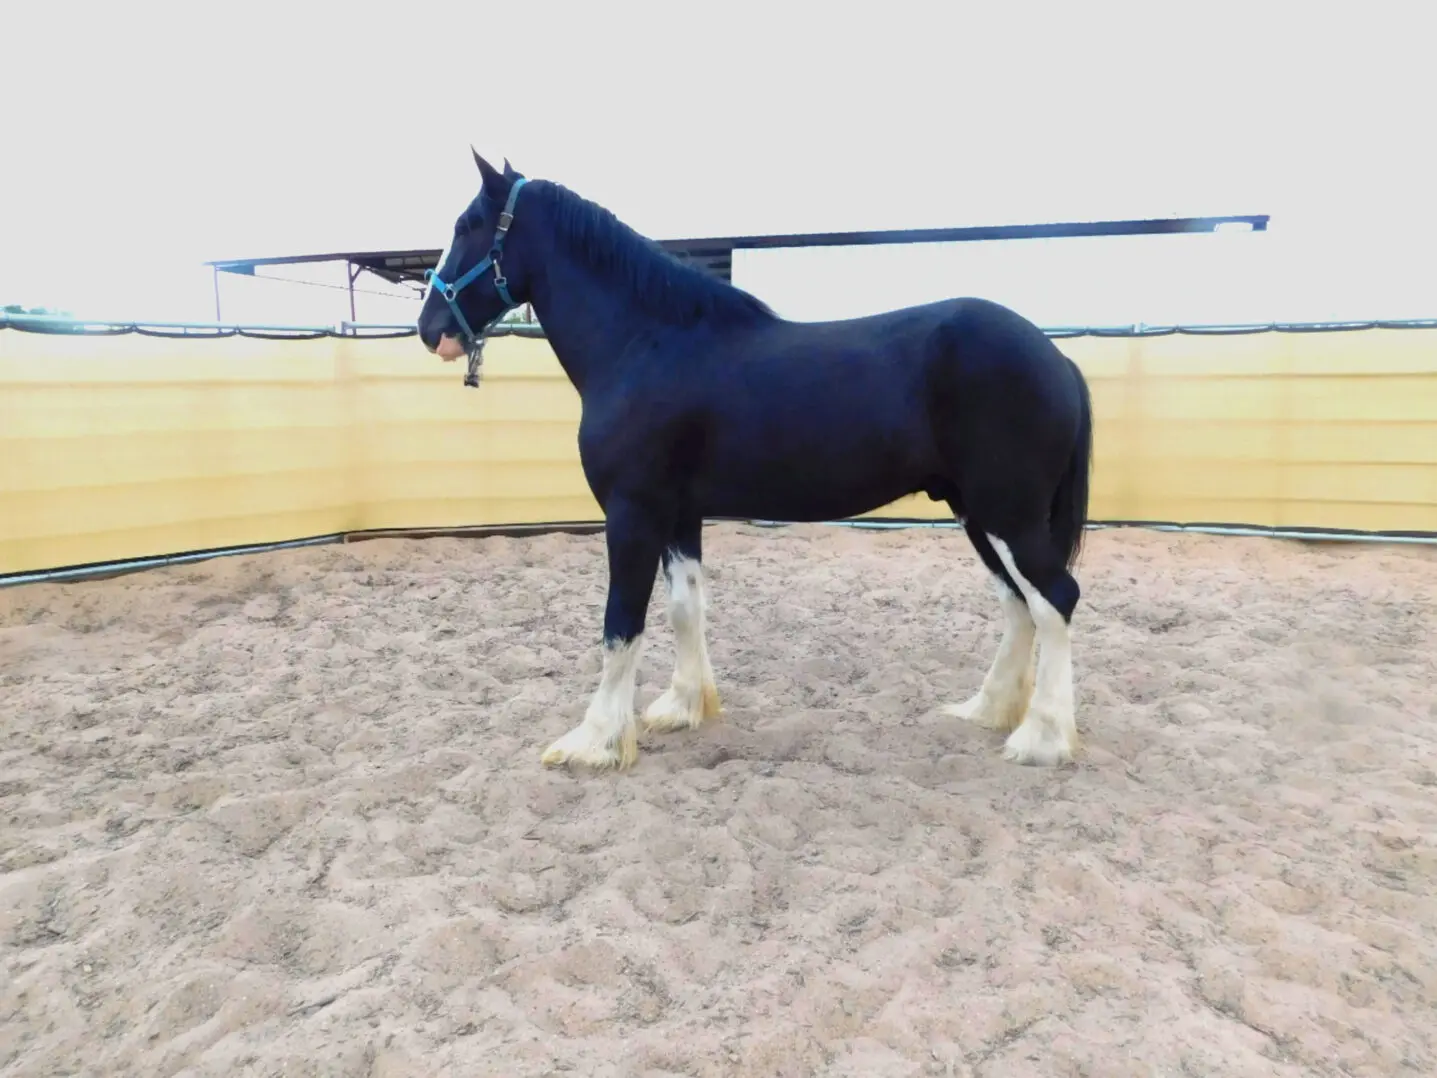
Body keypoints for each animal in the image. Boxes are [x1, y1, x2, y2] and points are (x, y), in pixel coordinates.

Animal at [417, 149, 1094, 773]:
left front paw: (594, 742)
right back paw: (987, 711)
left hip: (1007, 515)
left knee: (1054, 598)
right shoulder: (678, 515)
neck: (644, 345)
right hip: (976, 513)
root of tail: (1056, 358)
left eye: (468, 224)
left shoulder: (632, 513)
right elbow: (684, 607)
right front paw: (684, 707)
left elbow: (620, 624)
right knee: (1019, 603)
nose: (429, 328)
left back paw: (1041, 739)